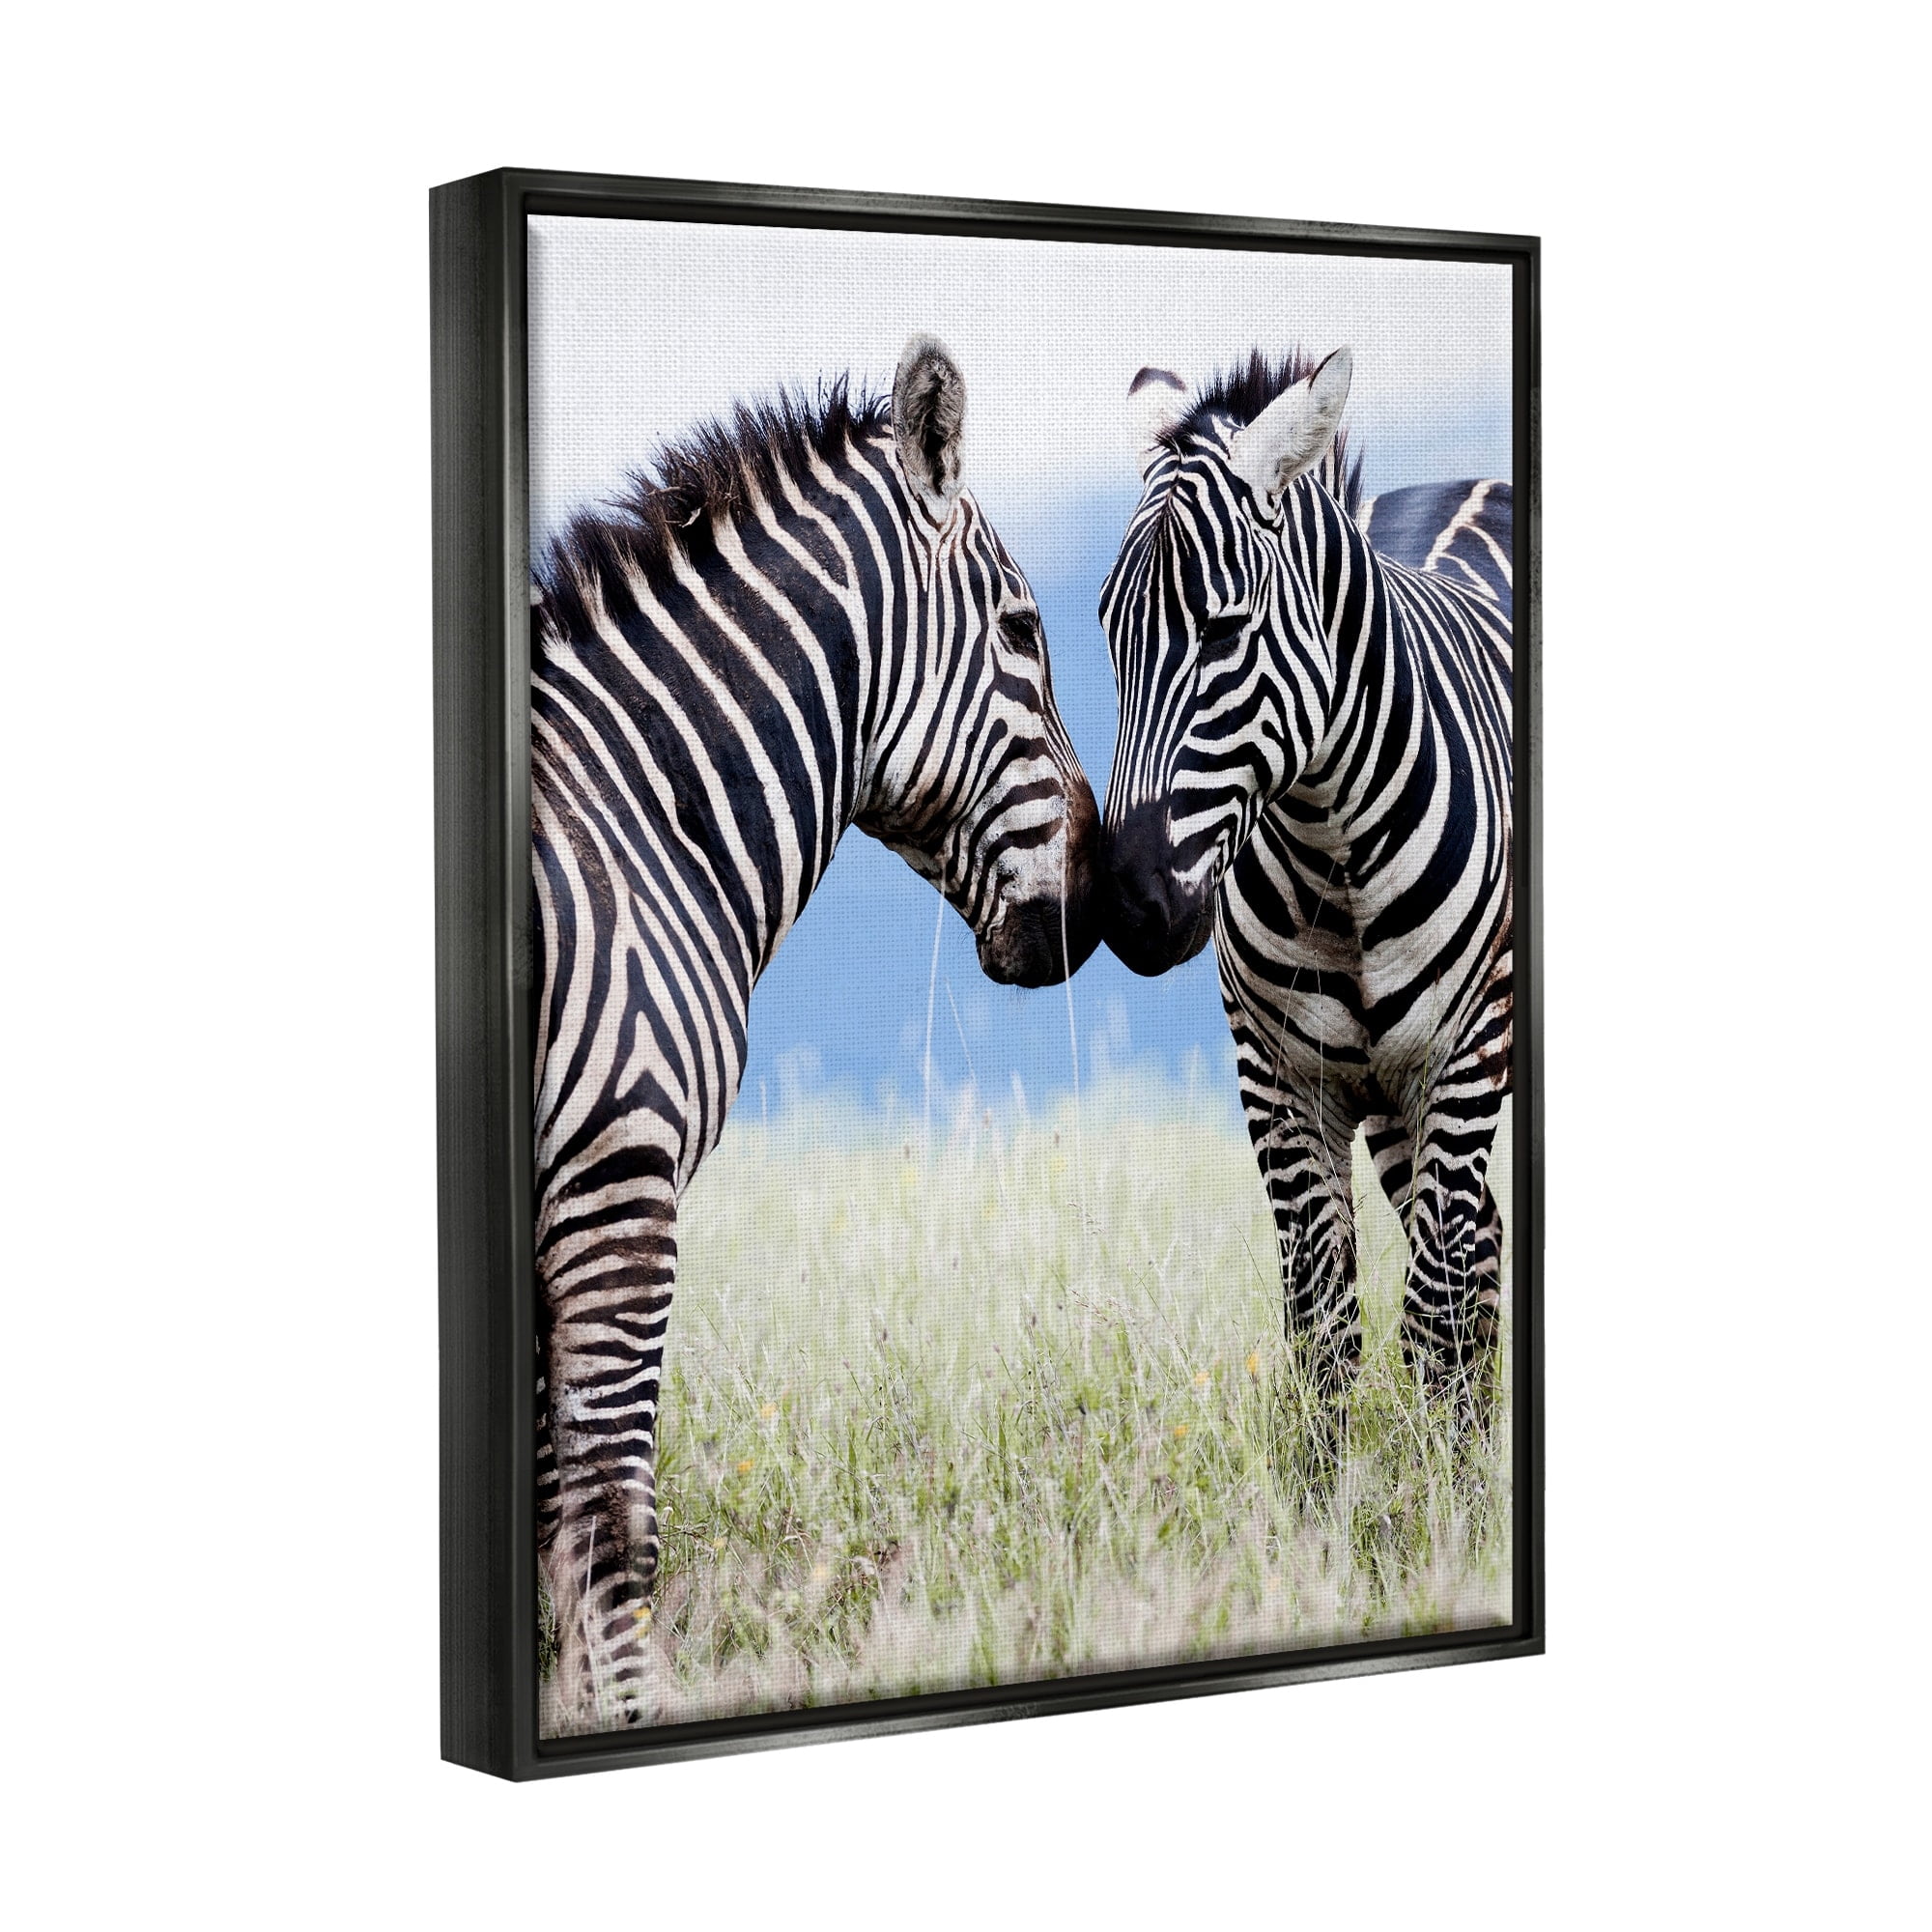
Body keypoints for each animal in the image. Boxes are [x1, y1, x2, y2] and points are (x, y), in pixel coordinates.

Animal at [531, 336, 1100, 1730]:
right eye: (1024, 632)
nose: (1099, 900)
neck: (640, 805)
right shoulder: (615, 1186)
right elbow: (610, 1519)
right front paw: (626, 1720)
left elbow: (554, 1520)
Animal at [1100, 350, 1512, 1415]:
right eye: (1111, 635)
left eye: (1222, 630)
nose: (1131, 908)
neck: (1331, 842)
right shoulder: (1279, 1077)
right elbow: (1322, 1328)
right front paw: (1337, 1472)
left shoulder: (1459, 1059)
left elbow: (1430, 1317)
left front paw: (1439, 1465)